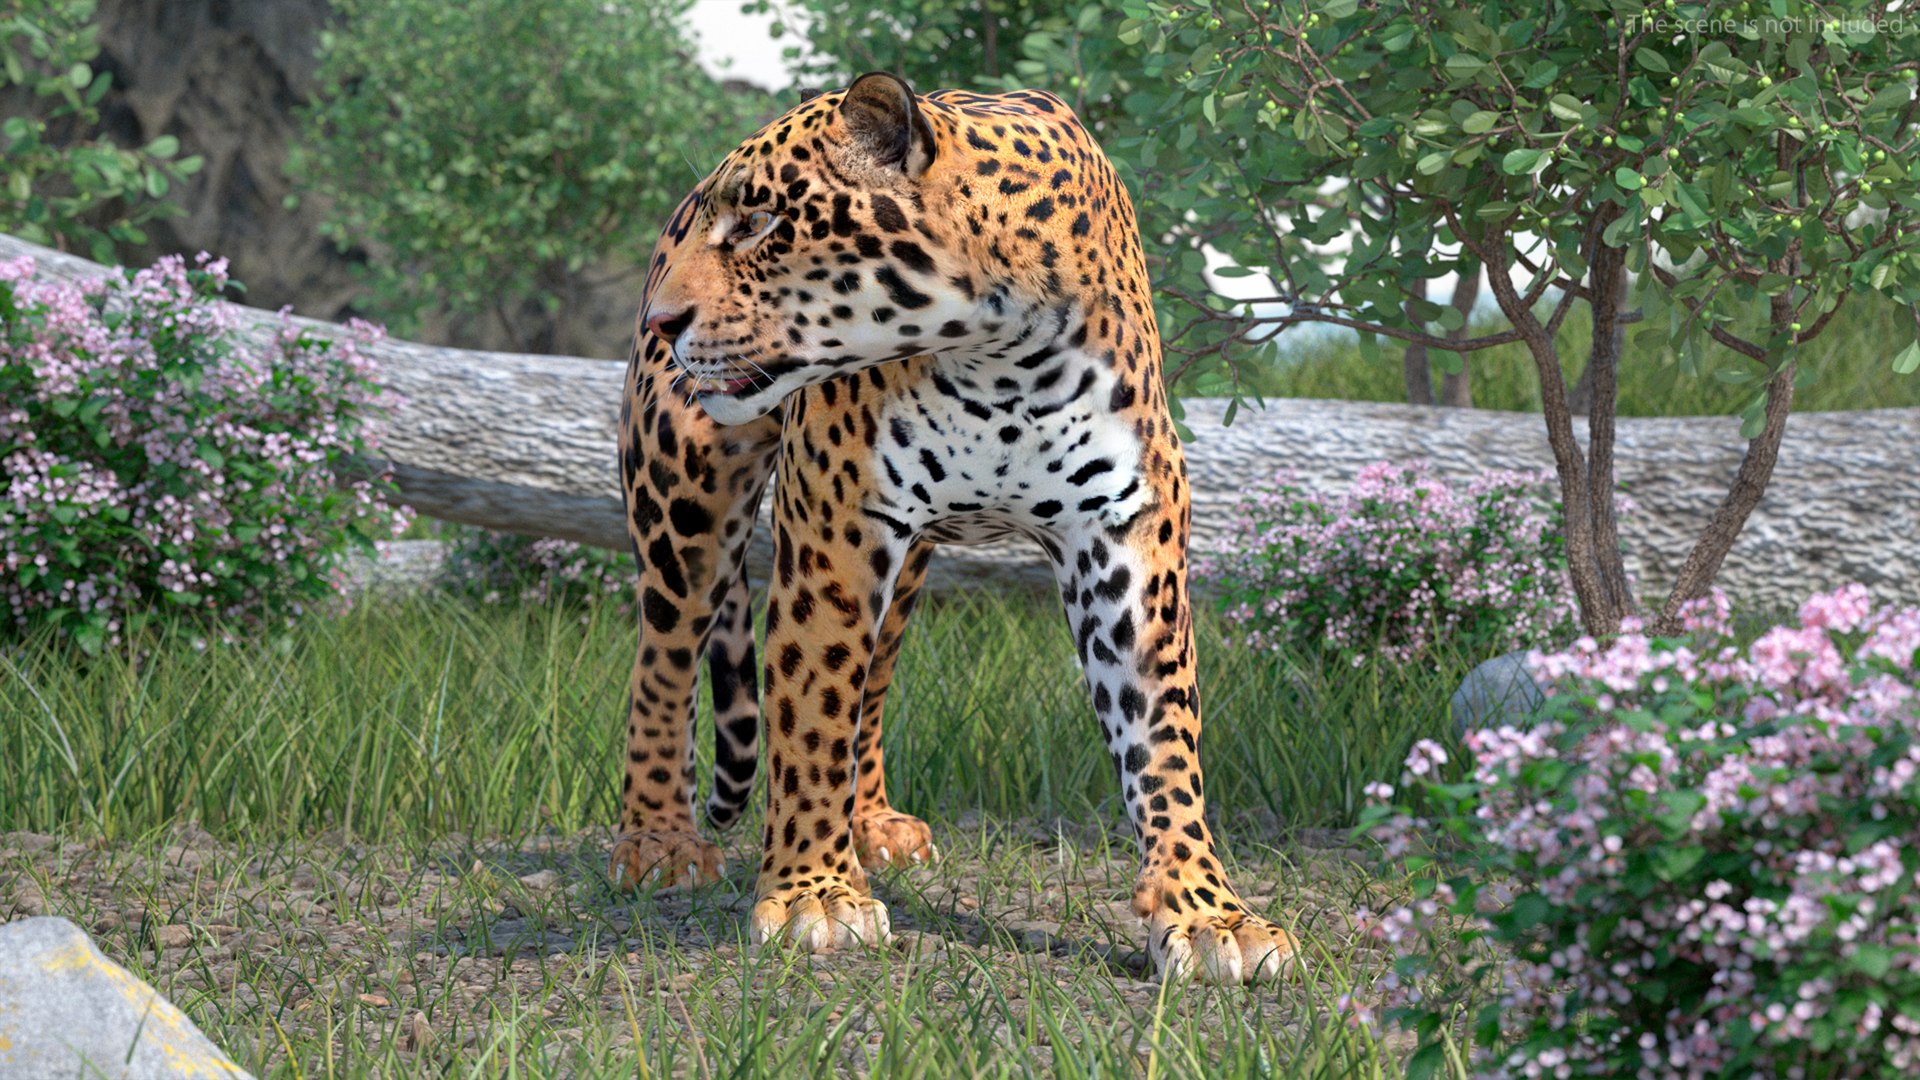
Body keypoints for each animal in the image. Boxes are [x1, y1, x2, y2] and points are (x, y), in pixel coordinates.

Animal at [608, 71, 1297, 984]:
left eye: (758, 222)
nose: (662, 321)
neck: (1004, 364)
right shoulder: (832, 537)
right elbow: (809, 715)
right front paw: (813, 895)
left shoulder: (1125, 537)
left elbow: (1162, 736)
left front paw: (1207, 910)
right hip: (684, 492)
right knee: (666, 659)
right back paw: (658, 841)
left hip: (905, 570)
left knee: (870, 681)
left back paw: (870, 825)